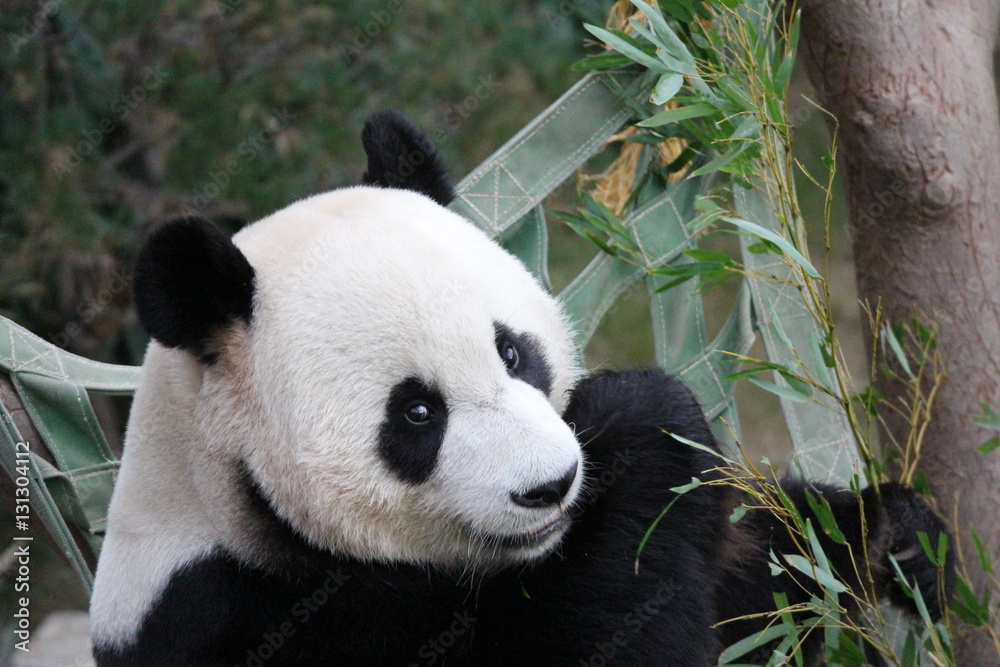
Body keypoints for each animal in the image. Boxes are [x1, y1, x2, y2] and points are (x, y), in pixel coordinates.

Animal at [90, 110, 952, 666]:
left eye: (513, 352)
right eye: (417, 412)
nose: (552, 485)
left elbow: (755, 582)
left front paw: (897, 537)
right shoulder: (250, 619)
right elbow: (610, 637)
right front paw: (642, 419)